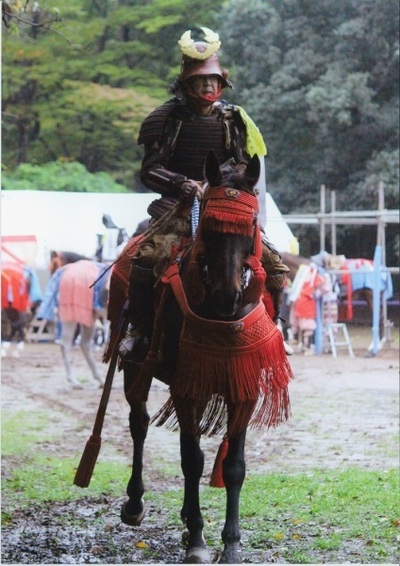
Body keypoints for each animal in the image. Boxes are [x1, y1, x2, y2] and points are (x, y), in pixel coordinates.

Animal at [37, 260, 109, 388]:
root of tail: (65, 269)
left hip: (89, 317)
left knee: (84, 344)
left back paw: (100, 379)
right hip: (70, 315)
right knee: (65, 344)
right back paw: (74, 381)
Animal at [105, 153, 294, 564]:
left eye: (250, 224)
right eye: (208, 225)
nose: (228, 295)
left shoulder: (243, 384)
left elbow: (234, 466)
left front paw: (232, 543)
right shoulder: (185, 385)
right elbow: (192, 459)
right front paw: (197, 539)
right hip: (135, 366)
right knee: (139, 423)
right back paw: (135, 503)